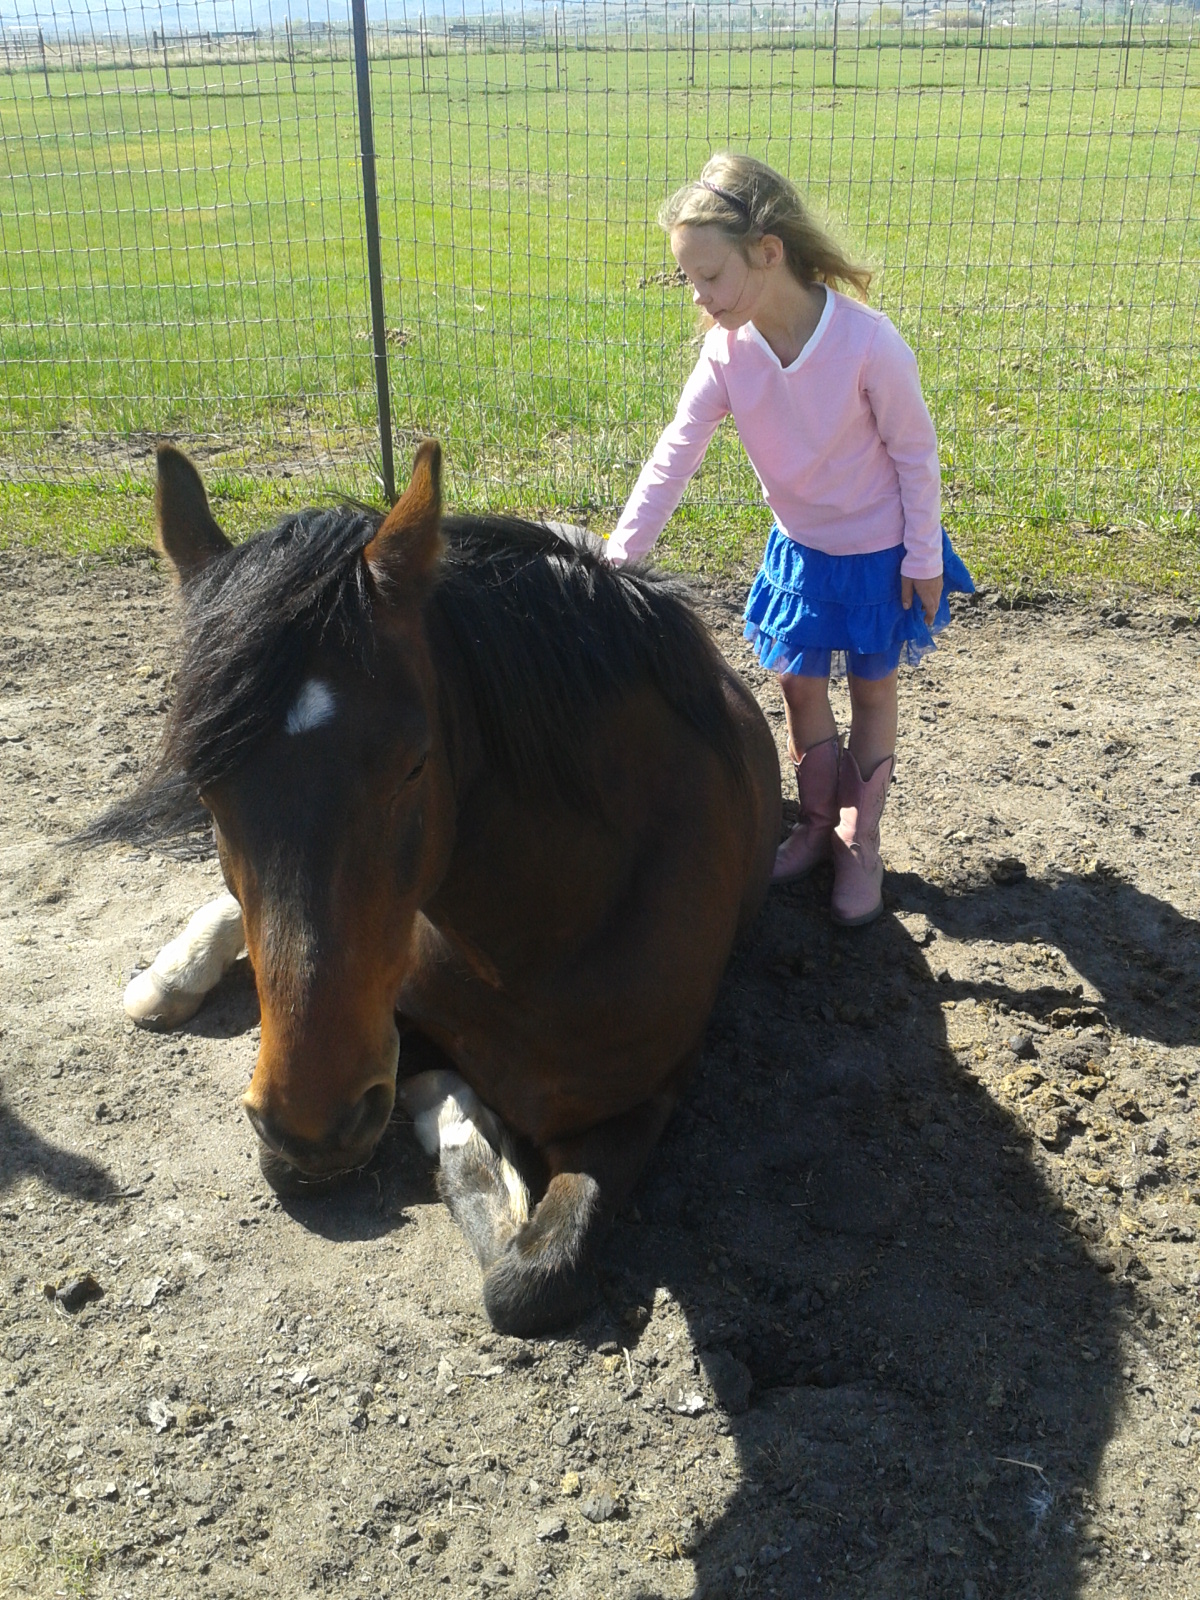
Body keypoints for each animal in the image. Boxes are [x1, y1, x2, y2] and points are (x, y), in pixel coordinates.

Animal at [94, 441, 781, 1335]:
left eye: (415, 762)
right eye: (206, 788)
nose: (311, 1122)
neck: (550, 937)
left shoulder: (642, 1104)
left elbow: (529, 1279)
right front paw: (456, 1122)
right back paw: (170, 977)